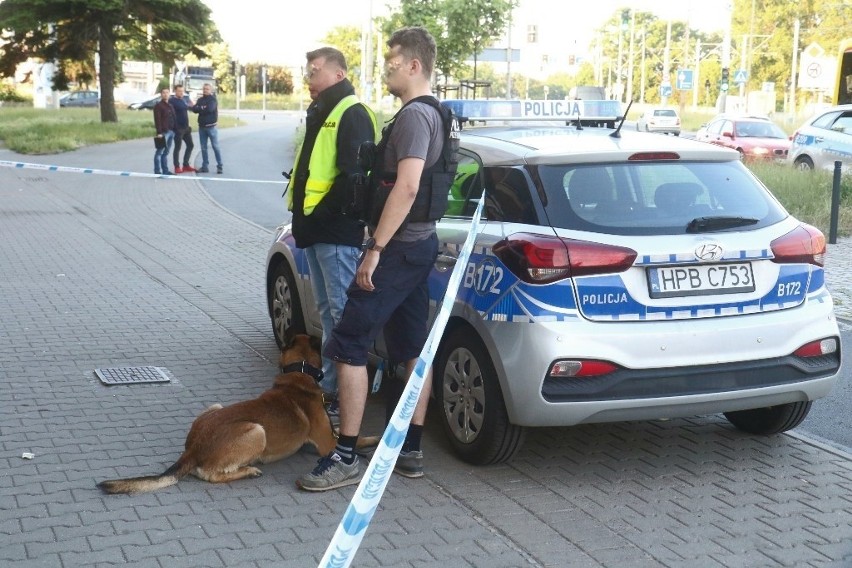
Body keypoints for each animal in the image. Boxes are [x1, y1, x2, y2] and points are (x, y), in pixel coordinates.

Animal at [98, 332, 372, 492]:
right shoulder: (327, 444)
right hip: (257, 431)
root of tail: (192, 450)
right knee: (212, 475)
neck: (299, 371)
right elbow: (359, 437)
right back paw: (249, 470)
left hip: (216, 406)